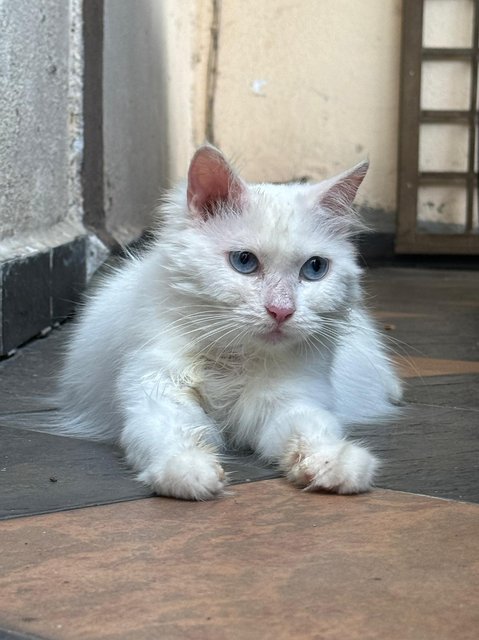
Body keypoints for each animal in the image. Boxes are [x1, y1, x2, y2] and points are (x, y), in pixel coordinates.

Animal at [61, 145, 404, 500]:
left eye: (314, 269)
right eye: (244, 262)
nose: (281, 311)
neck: (235, 358)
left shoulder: (290, 402)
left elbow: (310, 432)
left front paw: (334, 464)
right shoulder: (157, 394)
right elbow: (176, 434)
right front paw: (190, 471)